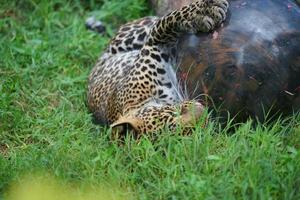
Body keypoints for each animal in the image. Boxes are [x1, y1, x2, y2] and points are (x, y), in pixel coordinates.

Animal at [88, 0, 229, 136]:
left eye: (176, 113)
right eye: (193, 131)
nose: (202, 110)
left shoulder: (152, 47)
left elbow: (169, 20)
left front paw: (204, 11)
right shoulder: (153, 45)